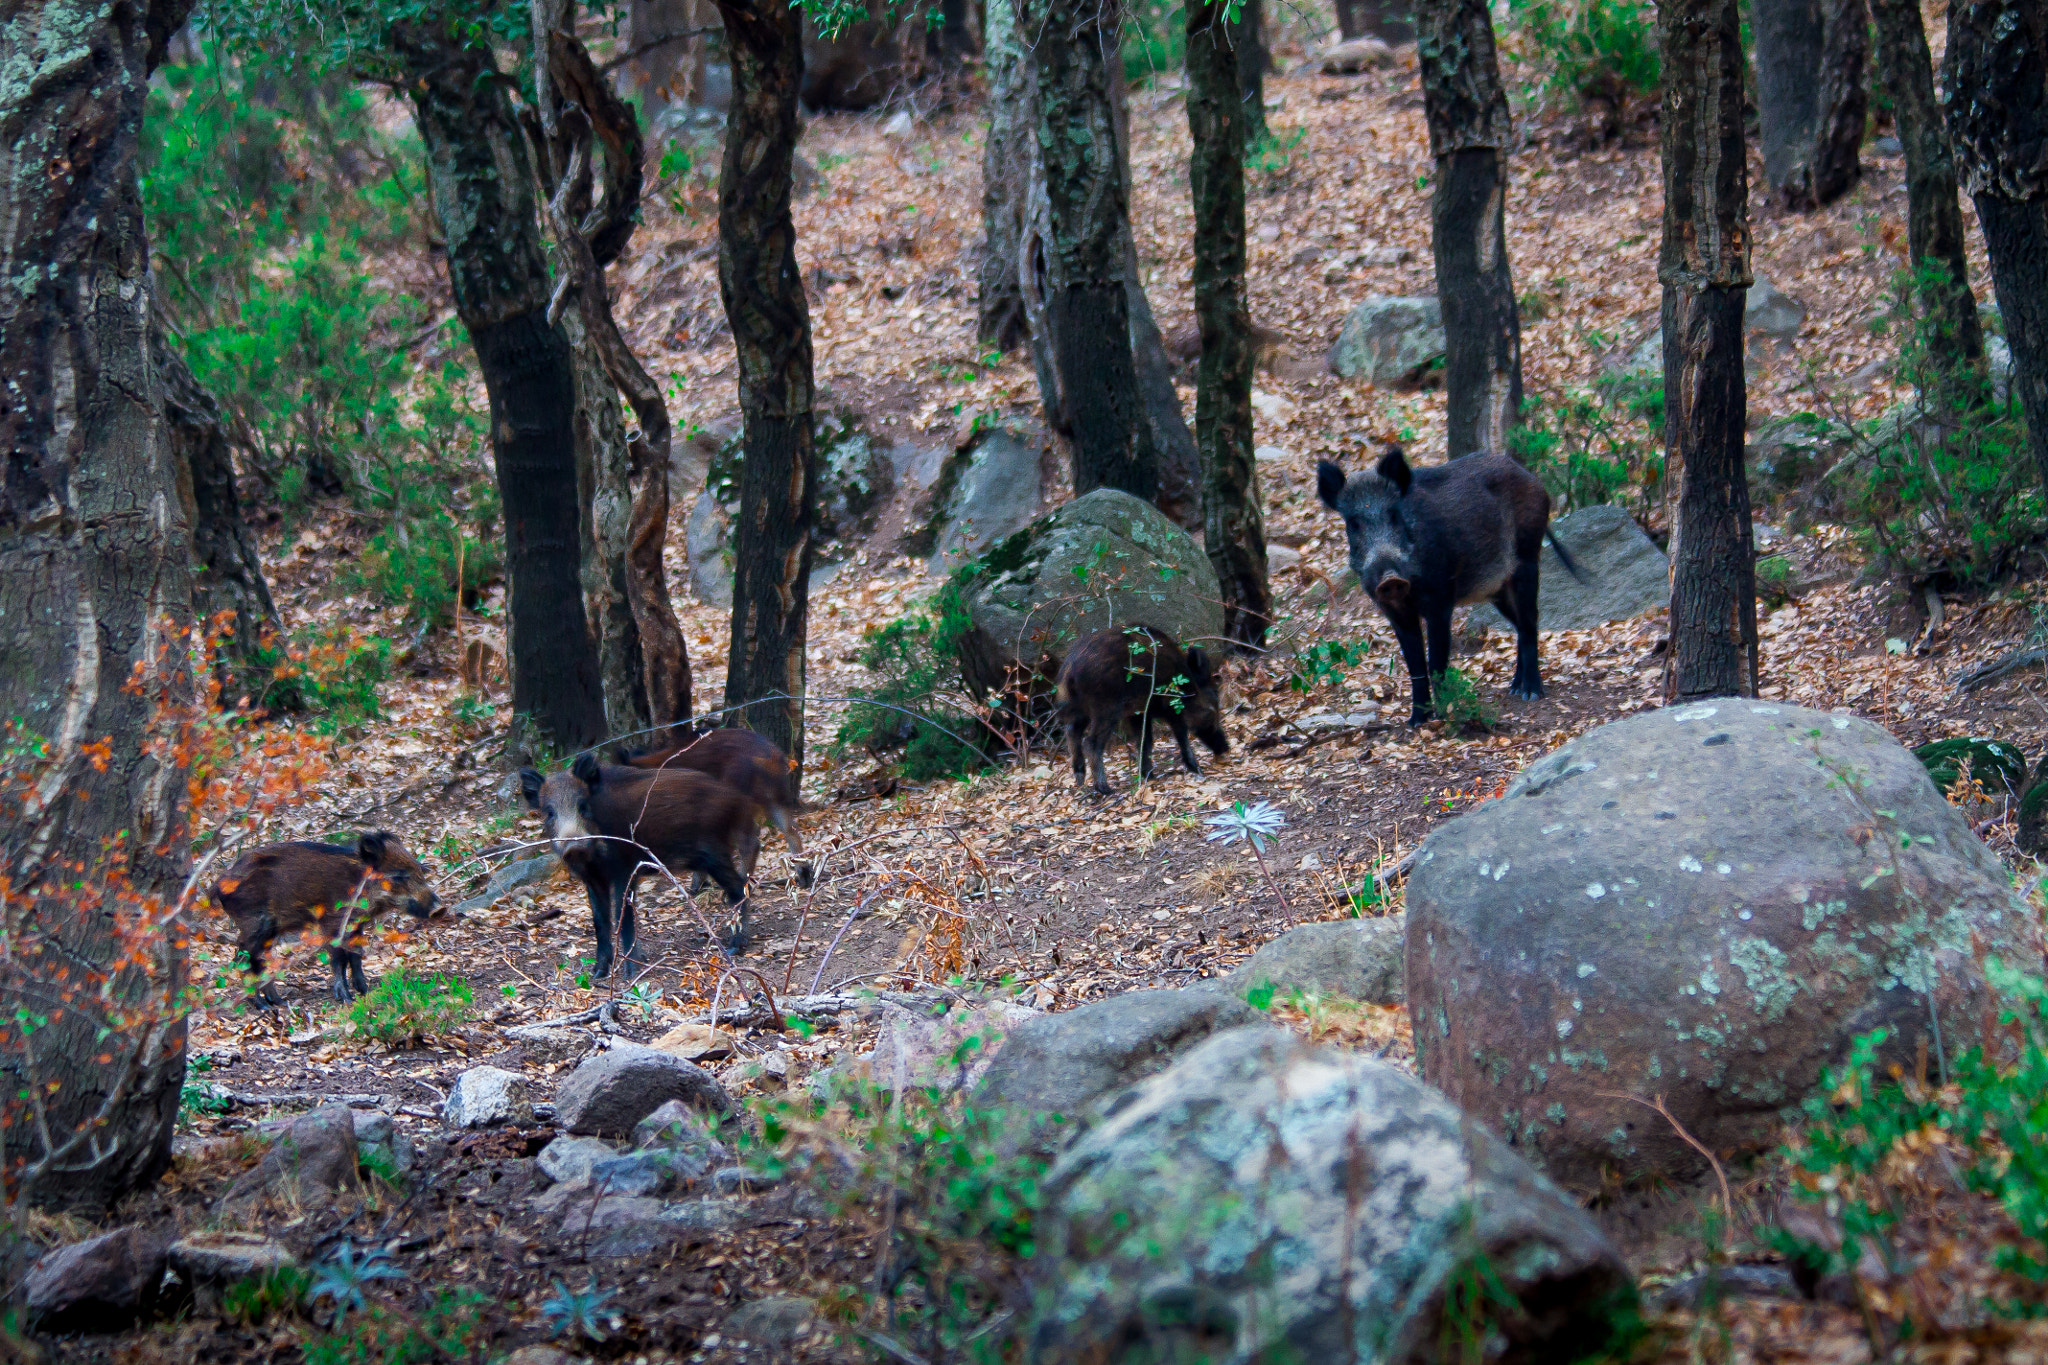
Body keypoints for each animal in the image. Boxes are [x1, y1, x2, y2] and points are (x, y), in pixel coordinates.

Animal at [210, 832, 441, 1005]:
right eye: (399, 876)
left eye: (420, 870)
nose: (440, 909)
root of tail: (217, 885)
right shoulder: (333, 924)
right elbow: (339, 959)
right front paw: (346, 999)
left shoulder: (356, 925)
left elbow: (355, 957)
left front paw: (365, 992)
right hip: (254, 924)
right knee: (243, 957)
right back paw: (262, 1005)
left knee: (258, 960)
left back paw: (279, 1002)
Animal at [519, 754, 757, 978]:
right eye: (550, 812)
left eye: (583, 806)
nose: (574, 846)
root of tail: (735, 798)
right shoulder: (592, 879)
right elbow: (600, 921)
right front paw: (598, 974)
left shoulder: (625, 870)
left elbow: (622, 917)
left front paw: (632, 974)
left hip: (714, 852)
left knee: (739, 888)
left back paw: (735, 947)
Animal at [617, 727, 809, 886]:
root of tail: (771, 756)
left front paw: (698, 883)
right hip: (776, 799)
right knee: (791, 830)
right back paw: (804, 874)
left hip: (743, 805)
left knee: (751, 842)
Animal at [1055, 625, 1230, 797]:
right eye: (1213, 709)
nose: (1225, 747)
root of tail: (1069, 671)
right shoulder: (1167, 708)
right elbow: (1179, 734)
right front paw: (1195, 768)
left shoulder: (1137, 713)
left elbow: (1144, 741)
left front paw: (1148, 775)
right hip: (1105, 707)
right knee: (1090, 742)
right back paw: (1104, 788)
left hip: (1077, 707)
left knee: (1071, 732)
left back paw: (1080, 778)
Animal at [1317, 446, 1580, 725]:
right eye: (1353, 523)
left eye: (1394, 515)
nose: (1390, 578)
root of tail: (1532, 479)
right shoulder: (1395, 613)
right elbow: (1415, 666)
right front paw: (1416, 721)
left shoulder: (1440, 600)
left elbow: (1436, 662)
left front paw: (1444, 716)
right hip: (1497, 589)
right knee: (1520, 625)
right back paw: (1514, 688)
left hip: (1528, 557)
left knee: (1530, 622)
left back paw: (1530, 693)